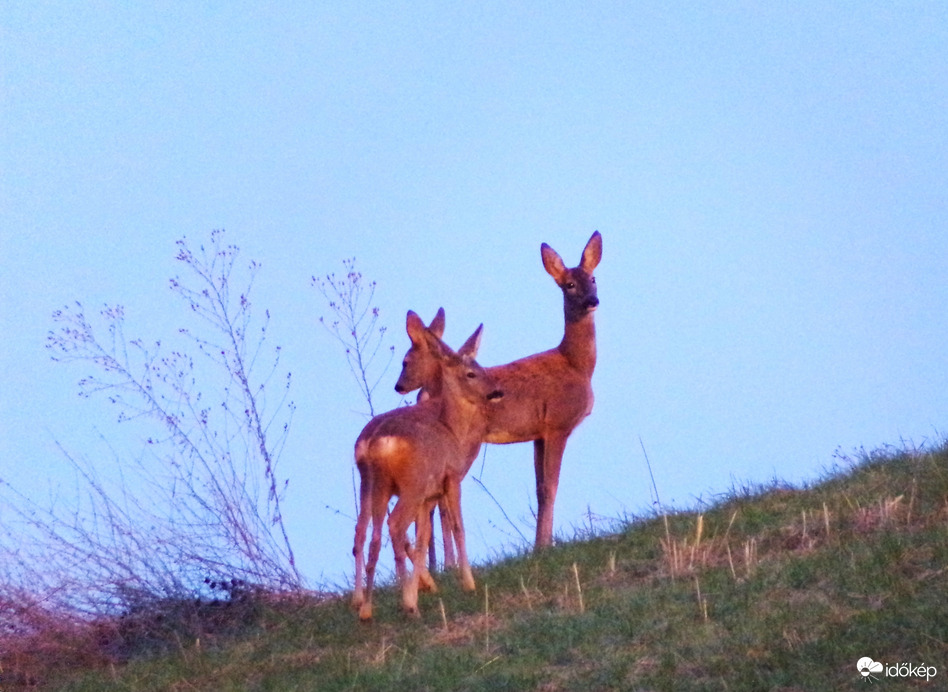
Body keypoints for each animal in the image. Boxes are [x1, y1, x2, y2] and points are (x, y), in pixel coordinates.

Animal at [352, 310, 504, 620]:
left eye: (481, 367)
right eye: (471, 373)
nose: (497, 391)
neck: (453, 431)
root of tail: (376, 442)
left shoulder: (428, 496)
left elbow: (423, 539)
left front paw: (425, 586)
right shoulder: (451, 479)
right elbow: (457, 527)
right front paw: (467, 583)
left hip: (376, 484)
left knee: (368, 532)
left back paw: (366, 607)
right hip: (411, 484)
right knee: (394, 525)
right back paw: (406, 603)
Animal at [396, 231, 604, 552]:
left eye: (593, 278)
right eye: (569, 284)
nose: (593, 300)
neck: (576, 365)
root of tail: (425, 395)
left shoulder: (538, 434)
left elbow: (540, 489)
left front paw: (539, 544)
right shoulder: (558, 424)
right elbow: (550, 486)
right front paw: (544, 546)